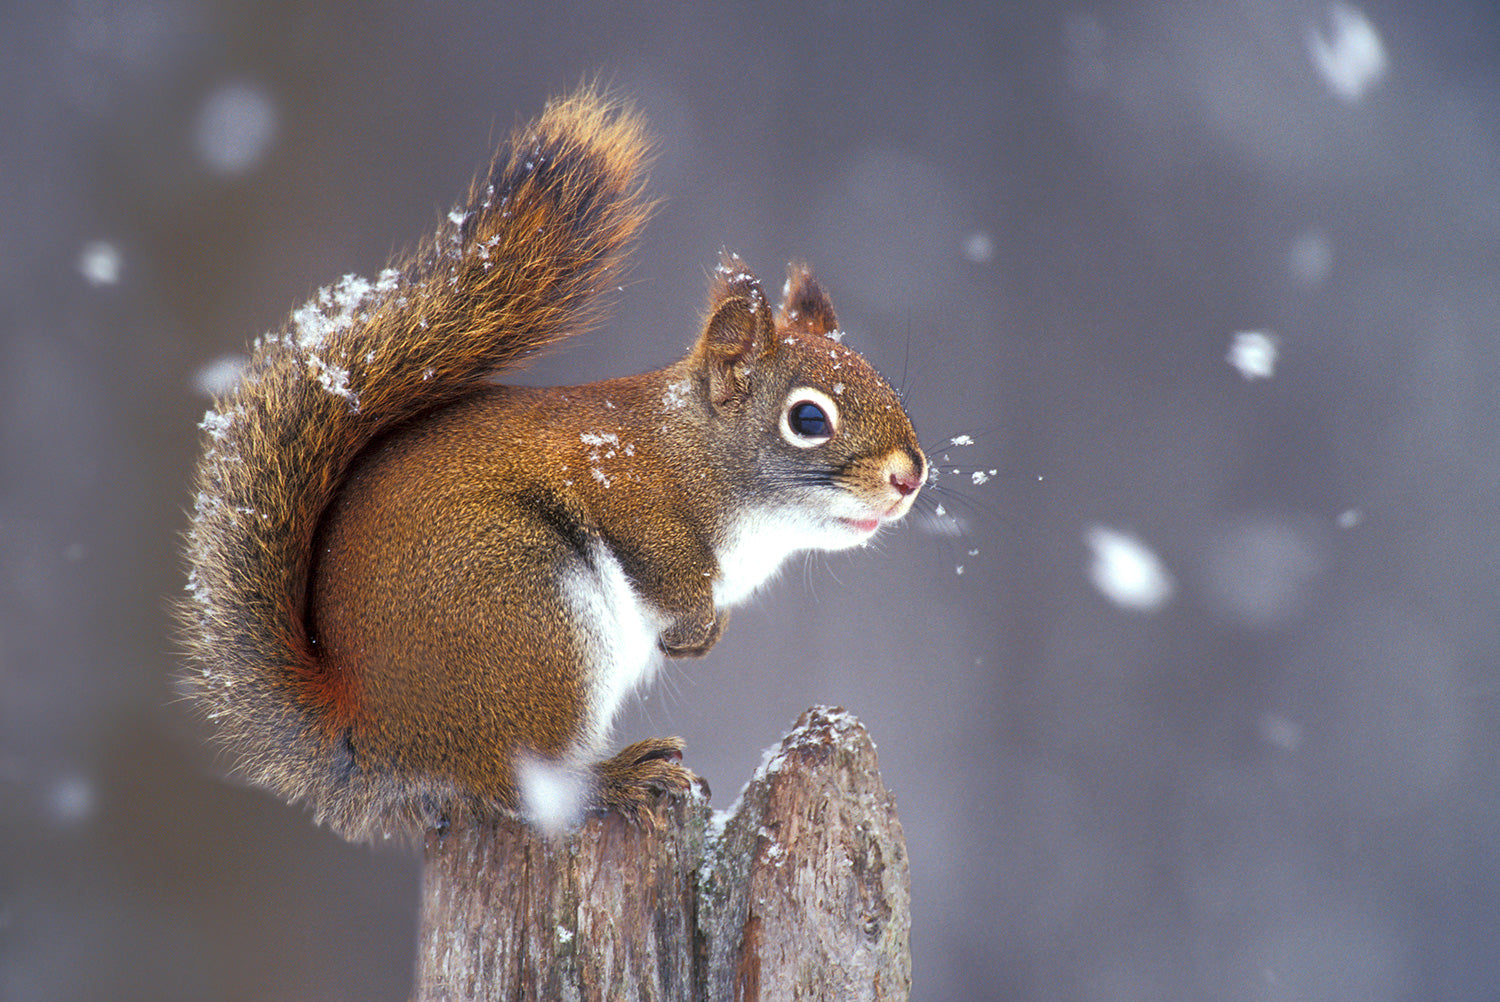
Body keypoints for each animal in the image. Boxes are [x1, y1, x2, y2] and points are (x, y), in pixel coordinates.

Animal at [180, 87, 926, 841]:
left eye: (890, 389)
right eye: (808, 420)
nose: (911, 476)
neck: (697, 451)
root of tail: (372, 729)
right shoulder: (628, 490)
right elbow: (669, 571)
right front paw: (694, 630)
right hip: (530, 621)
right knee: (515, 783)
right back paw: (617, 777)